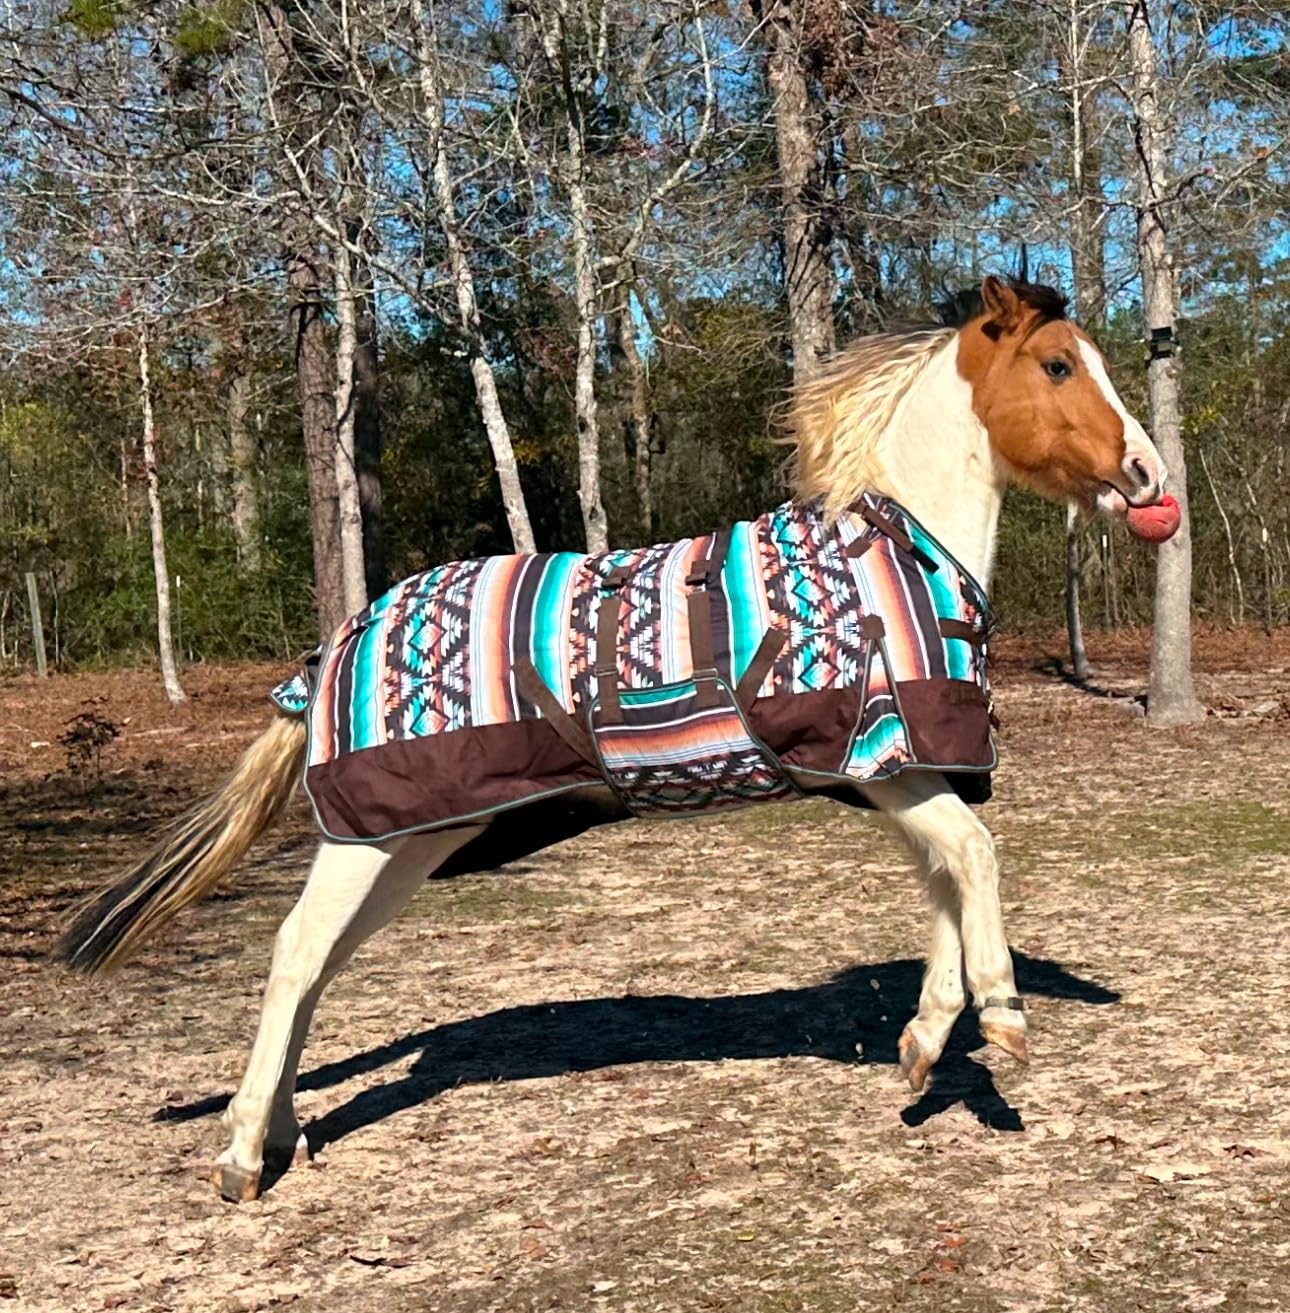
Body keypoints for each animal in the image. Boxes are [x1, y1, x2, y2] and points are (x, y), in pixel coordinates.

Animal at [56, 277, 1168, 1203]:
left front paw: (926, 1041)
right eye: (1058, 364)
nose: (1149, 477)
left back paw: (284, 1130)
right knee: (294, 954)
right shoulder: (881, 761)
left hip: (410, 842)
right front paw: (1003, 1018)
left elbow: (945, 878)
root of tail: (337, 640)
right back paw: (243, 1154)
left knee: (323, 961)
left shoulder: (904, 767)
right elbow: (973, 859)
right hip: (372, 833)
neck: (892, 550)